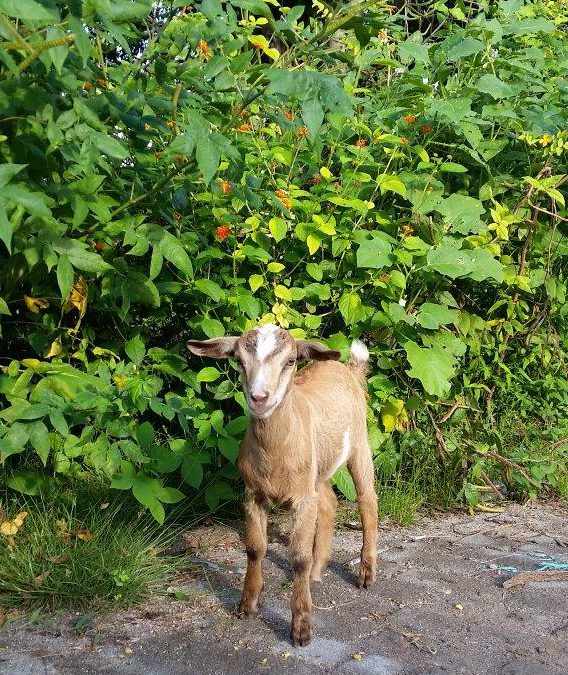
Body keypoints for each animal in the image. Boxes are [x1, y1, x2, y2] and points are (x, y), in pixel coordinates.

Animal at [187, 324, 378, 646]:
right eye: (239, 360)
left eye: (290, 361)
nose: (259, 397)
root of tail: (348, 369)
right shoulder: (254, 494)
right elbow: (255, 548)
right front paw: (247, 605)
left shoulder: (301, 497)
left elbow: (298, 557)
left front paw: (301, 628)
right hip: (316, 469)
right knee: (328, 502)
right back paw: (317, 570)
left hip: (359, 443)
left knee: (368, 501)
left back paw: (366, 574)